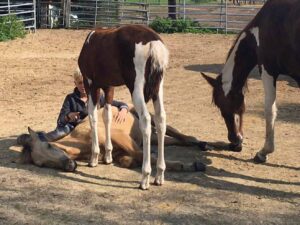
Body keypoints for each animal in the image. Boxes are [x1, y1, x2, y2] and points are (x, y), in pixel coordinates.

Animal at [16, 106, 207, 173]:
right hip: (150, 136)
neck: (80, 142)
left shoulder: (119, 136)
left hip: (150, 118)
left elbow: (141, 155)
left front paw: (188, 166)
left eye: (49, 145)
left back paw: (202, 144)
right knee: (172, 140)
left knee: (178, 134)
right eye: (41, 164)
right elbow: (129, 159)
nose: (70, 165)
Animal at [77, 25, 169, 190]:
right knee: (160, 120)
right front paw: (108, 155)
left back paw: (145, 177)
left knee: (146, 120)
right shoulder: (109, 87)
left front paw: (94, 157)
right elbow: (107, 117)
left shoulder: (91, 85)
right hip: (158, 90)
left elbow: (93, 117)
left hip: (136, 88)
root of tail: (153, 42)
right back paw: (159, 175)